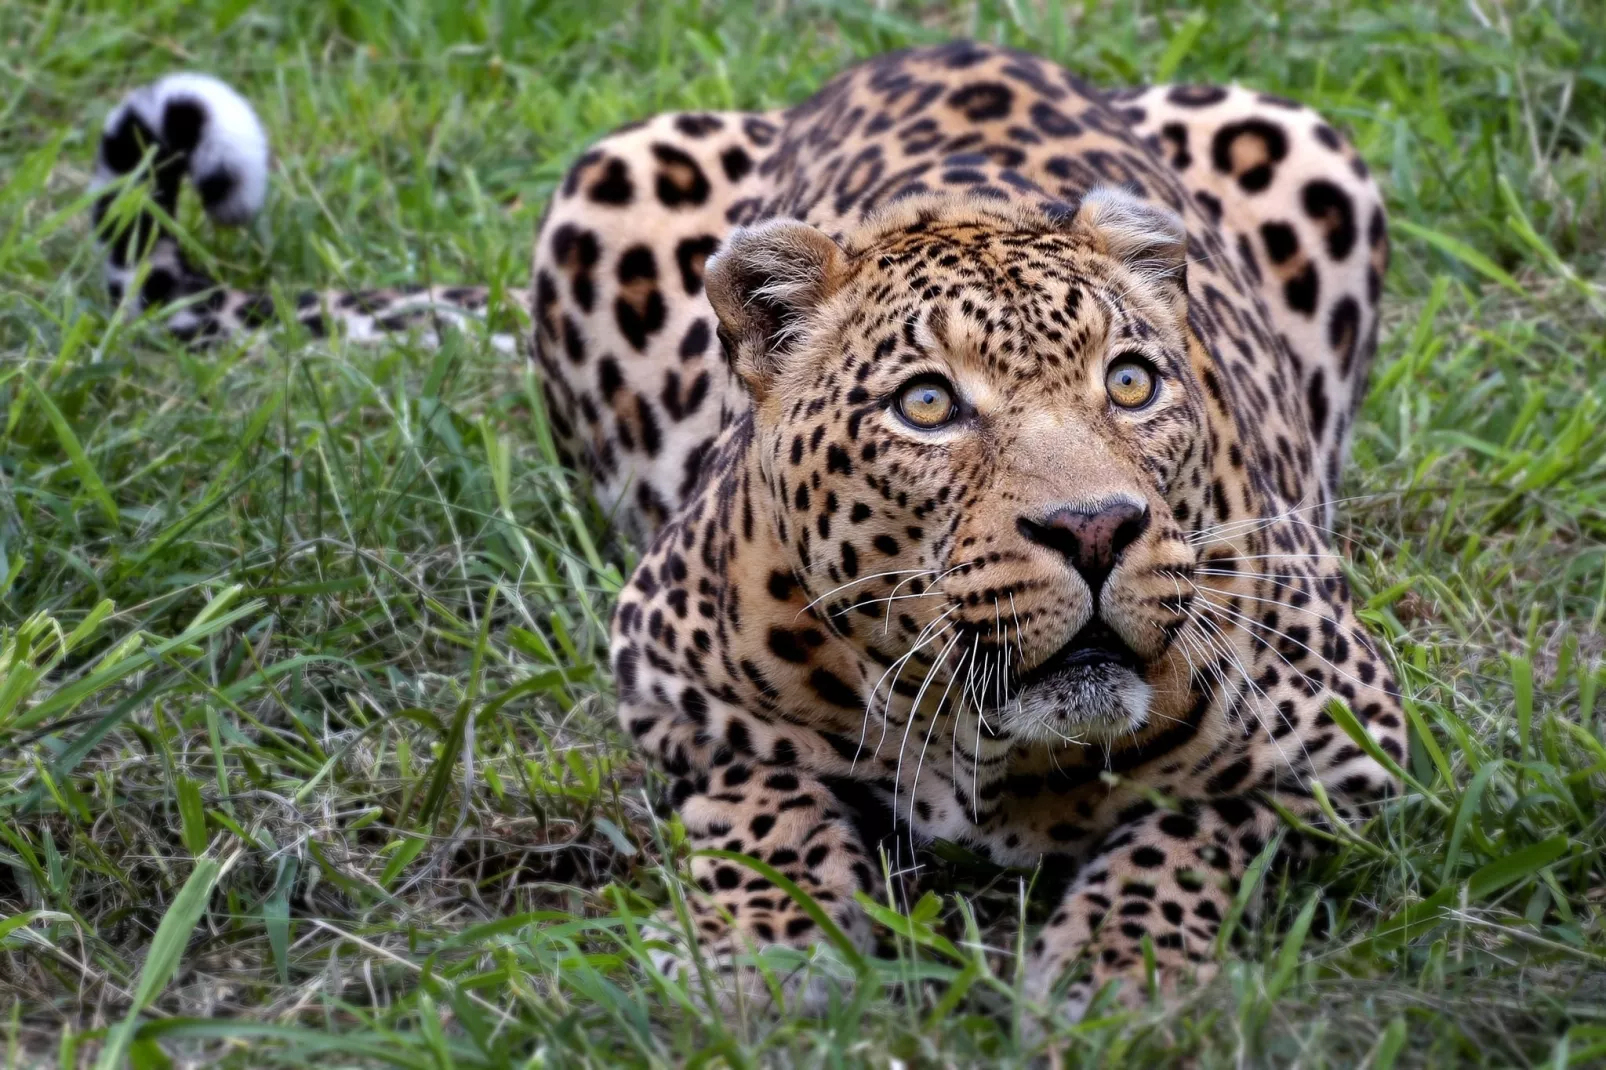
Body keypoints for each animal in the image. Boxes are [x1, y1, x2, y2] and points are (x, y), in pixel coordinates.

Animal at [87, 43, 1400, 1015]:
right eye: (928, 404)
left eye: (1130, 383)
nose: (1094, 527)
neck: (988, 748)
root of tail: (936, 41)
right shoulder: (664, 679)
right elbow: (763, 790)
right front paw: (757, 952)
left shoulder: (1354, 740)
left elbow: (1194, 823)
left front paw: (1119, 966)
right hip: (611, 175)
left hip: (1300, 138)